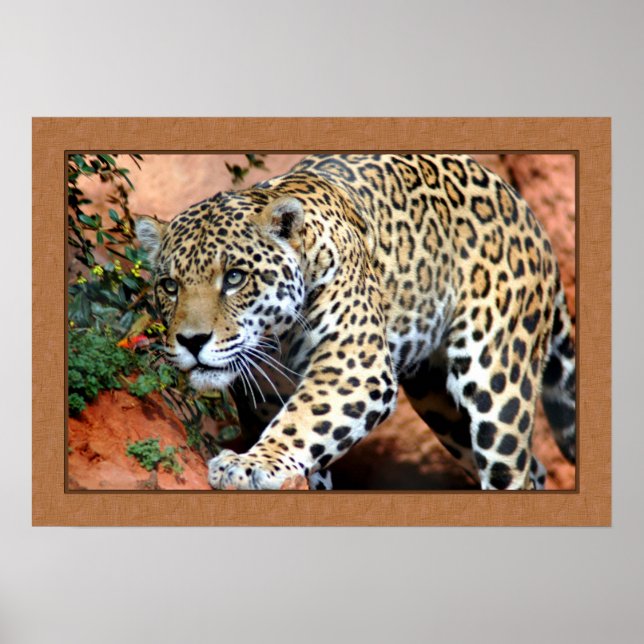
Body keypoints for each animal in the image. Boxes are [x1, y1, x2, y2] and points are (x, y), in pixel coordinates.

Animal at [135, 154, 576, 491]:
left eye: (234, 278)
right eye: (170, 286)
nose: (191, 341)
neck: (274, 343)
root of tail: (525, 210)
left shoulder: (352, 368)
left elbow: (298, 422)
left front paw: (249, 464)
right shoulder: (266, 398)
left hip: (496, 378)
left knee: (510, 467)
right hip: (441, 407)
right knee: (533, 468)